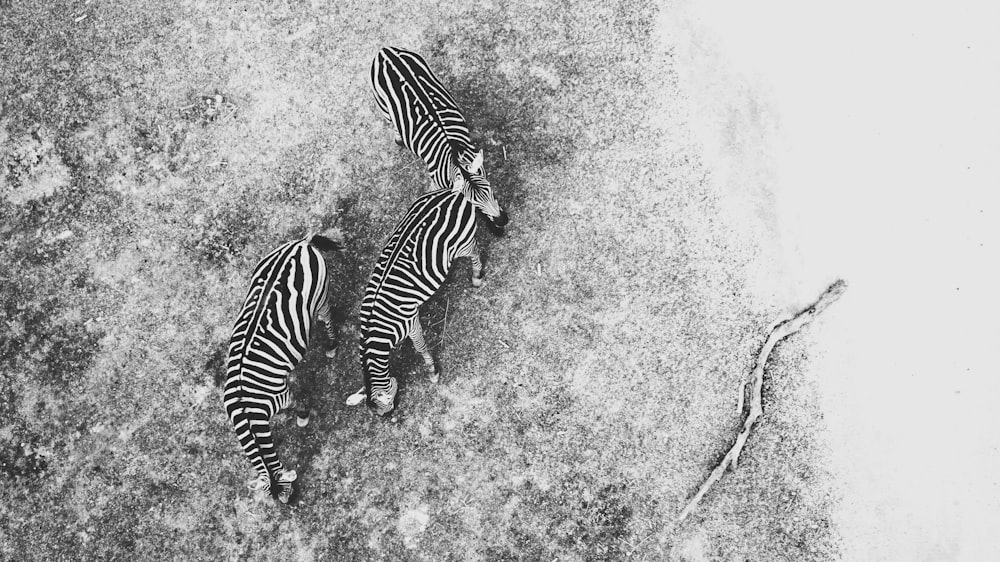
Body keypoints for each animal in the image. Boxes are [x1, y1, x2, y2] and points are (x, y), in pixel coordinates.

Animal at [223, 230, 344, 500]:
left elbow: (297, 402)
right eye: (277, 498)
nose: (293, 504)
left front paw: (303, 417)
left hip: (320, 294)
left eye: (286, 493)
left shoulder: (281, 395)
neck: (247, 411)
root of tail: (301, 244)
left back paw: (332, 346)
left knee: (327, 316)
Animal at [344, 176, 484, 416]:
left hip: (461, 245)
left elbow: (420, 347)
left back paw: (476, 276)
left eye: (387, 409)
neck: (376, 330)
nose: (391, 418)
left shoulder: (410, 322)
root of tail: (452, 191)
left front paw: (432, 371)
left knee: (474, 250)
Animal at [368, 44, 508, 231]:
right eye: (472, 202)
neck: (454, 156)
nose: (503, 221)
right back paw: (399, 139)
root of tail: (385, 51)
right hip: (384, 107)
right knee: (392, 123)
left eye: (490, 188)